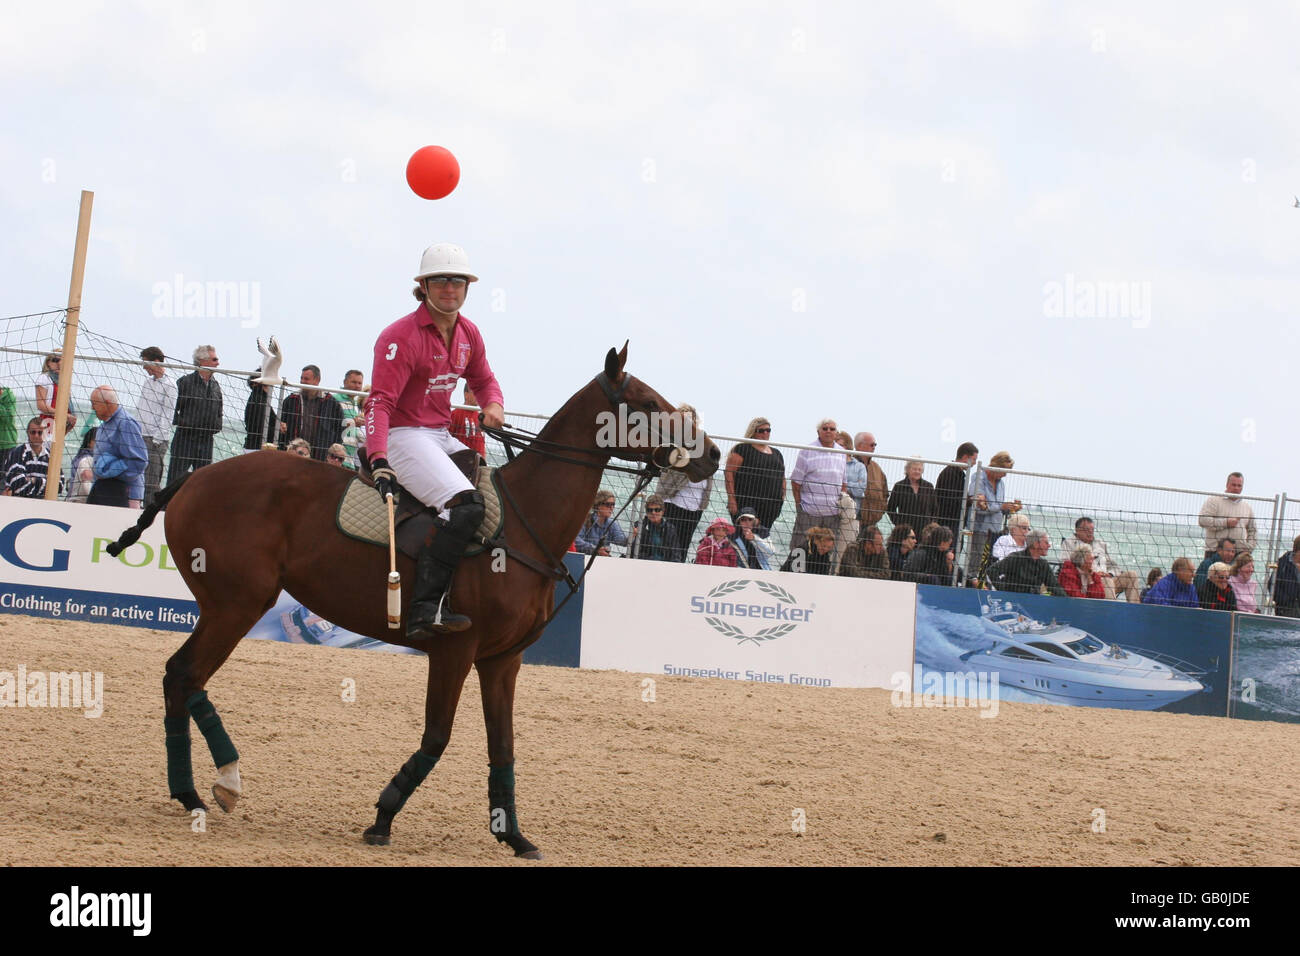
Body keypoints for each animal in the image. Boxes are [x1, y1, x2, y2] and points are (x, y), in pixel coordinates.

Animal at [105, 345, 722, 858]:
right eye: (647, 403)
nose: (712, 455)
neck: (524, 525)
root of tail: (193, 478)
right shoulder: (454, 649)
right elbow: (438, 736)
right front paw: (382, 817)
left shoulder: (503, 661)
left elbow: (504, 746)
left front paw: (514, 835)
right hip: (237, 604)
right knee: (185, 674)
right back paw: (208, 786)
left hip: (228, 606)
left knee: (183, 678)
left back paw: (204, 788)